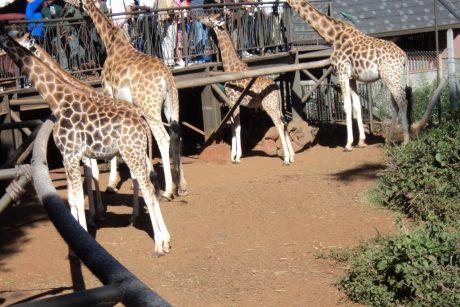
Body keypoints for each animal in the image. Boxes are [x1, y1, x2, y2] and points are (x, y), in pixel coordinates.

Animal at [0, 31, 171, 258]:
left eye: (17, 42)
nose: (3, 57)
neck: (57, 100)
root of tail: (142, 119)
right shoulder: (69, 156)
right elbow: (74, 196)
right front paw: (78, 238)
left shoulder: (73, 154)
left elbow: (82, 193)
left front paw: (86, 233)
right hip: (136, 152)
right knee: (149, 182)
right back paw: (163, 237)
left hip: (131, 152)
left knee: (147, 188)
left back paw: (158, 244)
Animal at [63, 0, 187, 200]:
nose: (67, 7)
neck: (111, 42)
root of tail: (166, 76)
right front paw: (148, 175)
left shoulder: (108, 93)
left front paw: (111, 184)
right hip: (171, 104)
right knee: (176, 135)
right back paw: (181, 186)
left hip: (150, 105)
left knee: (164, 138)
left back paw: (168, 190)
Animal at [199, 13, 294, 166]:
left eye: (209, 18)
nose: (200, 17)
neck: (230, 68)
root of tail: (277, 89)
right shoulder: (233, 104)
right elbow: (234, 127)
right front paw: (233, 156)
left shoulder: (233, 101)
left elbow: (237, 127)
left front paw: (237, 157)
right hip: (277, 105)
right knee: (284, 122)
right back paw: (291, 156)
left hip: (269, 105)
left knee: (279, 124)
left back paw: (285, 159)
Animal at [284, 0, 410, 150]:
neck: (333, 37)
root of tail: (404, 56)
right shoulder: (352, 78)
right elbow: (357, 106)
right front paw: (361, 141)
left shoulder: (342, 73)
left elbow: (347, 107)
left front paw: (348, 144)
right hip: (394, 77)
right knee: (396, 104)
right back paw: (388, 140)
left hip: (390, 76)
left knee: (402, 102)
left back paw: (406, 141)